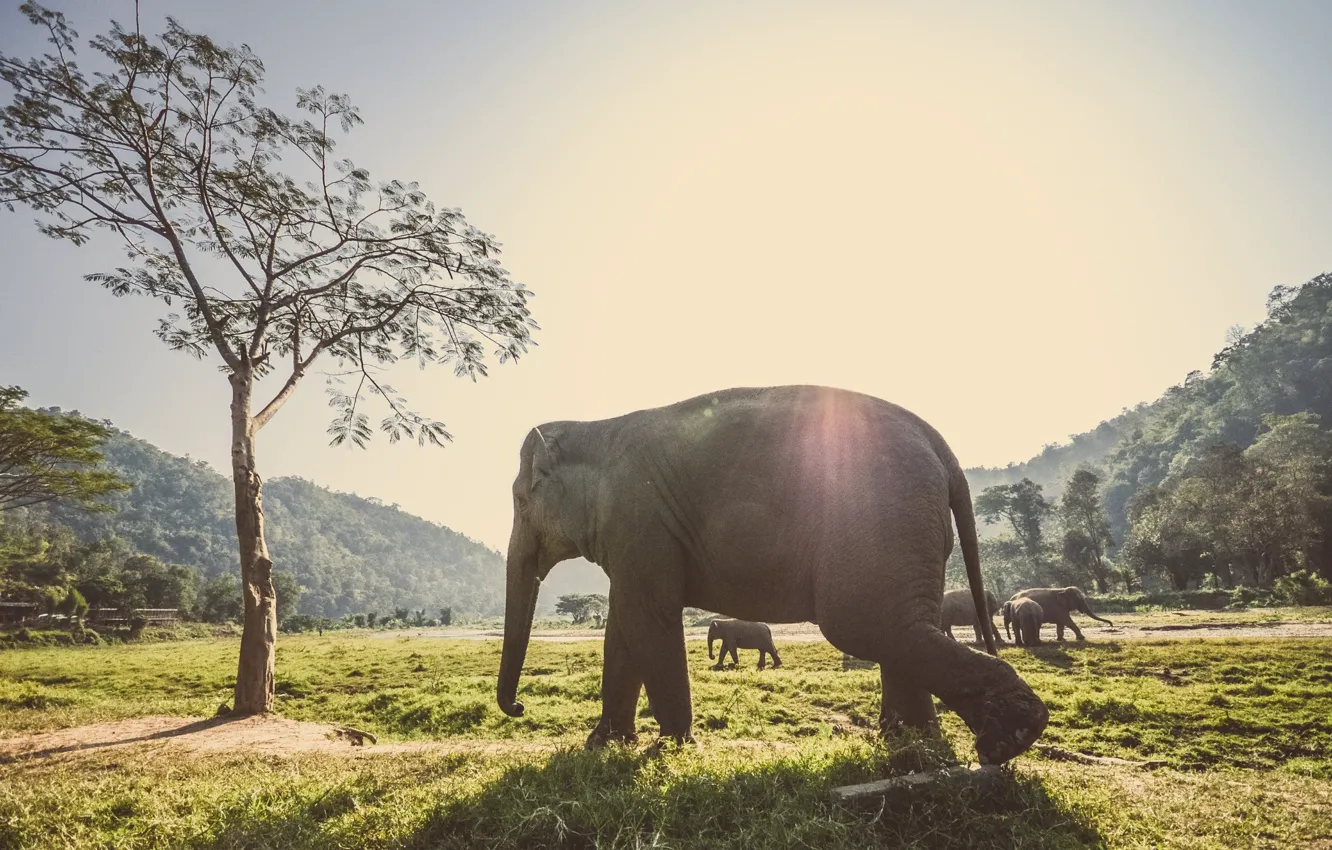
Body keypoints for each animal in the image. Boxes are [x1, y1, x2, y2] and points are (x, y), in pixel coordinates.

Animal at [500, 386, 1049, 767]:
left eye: (520, 502)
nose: (519, 707)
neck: (596, 428)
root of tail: (942, 448)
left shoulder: (639, 522)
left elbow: (648, 619)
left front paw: (671, 749)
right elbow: (624, 628)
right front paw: (603, 745)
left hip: (884, 518)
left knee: (866, 624)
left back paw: (1008, 737)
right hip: (914, 532)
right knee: (905, 625)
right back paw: (910, 746)